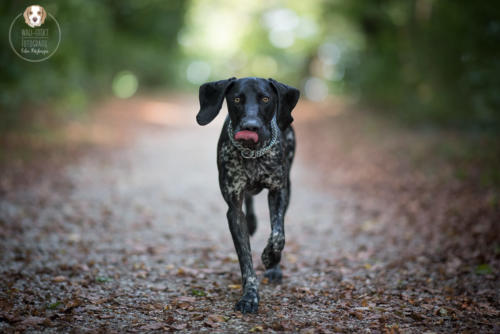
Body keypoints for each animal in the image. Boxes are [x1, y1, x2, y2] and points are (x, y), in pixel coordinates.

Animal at [195, 77, 298, 314]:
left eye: (266, 99)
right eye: (236, 99)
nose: (250, 126)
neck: (253, 154)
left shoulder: (278, 191)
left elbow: (278, 234)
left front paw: (270, 258)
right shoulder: (234, 209)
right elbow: (245, 259)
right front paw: (250, 296)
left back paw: (274, 267)